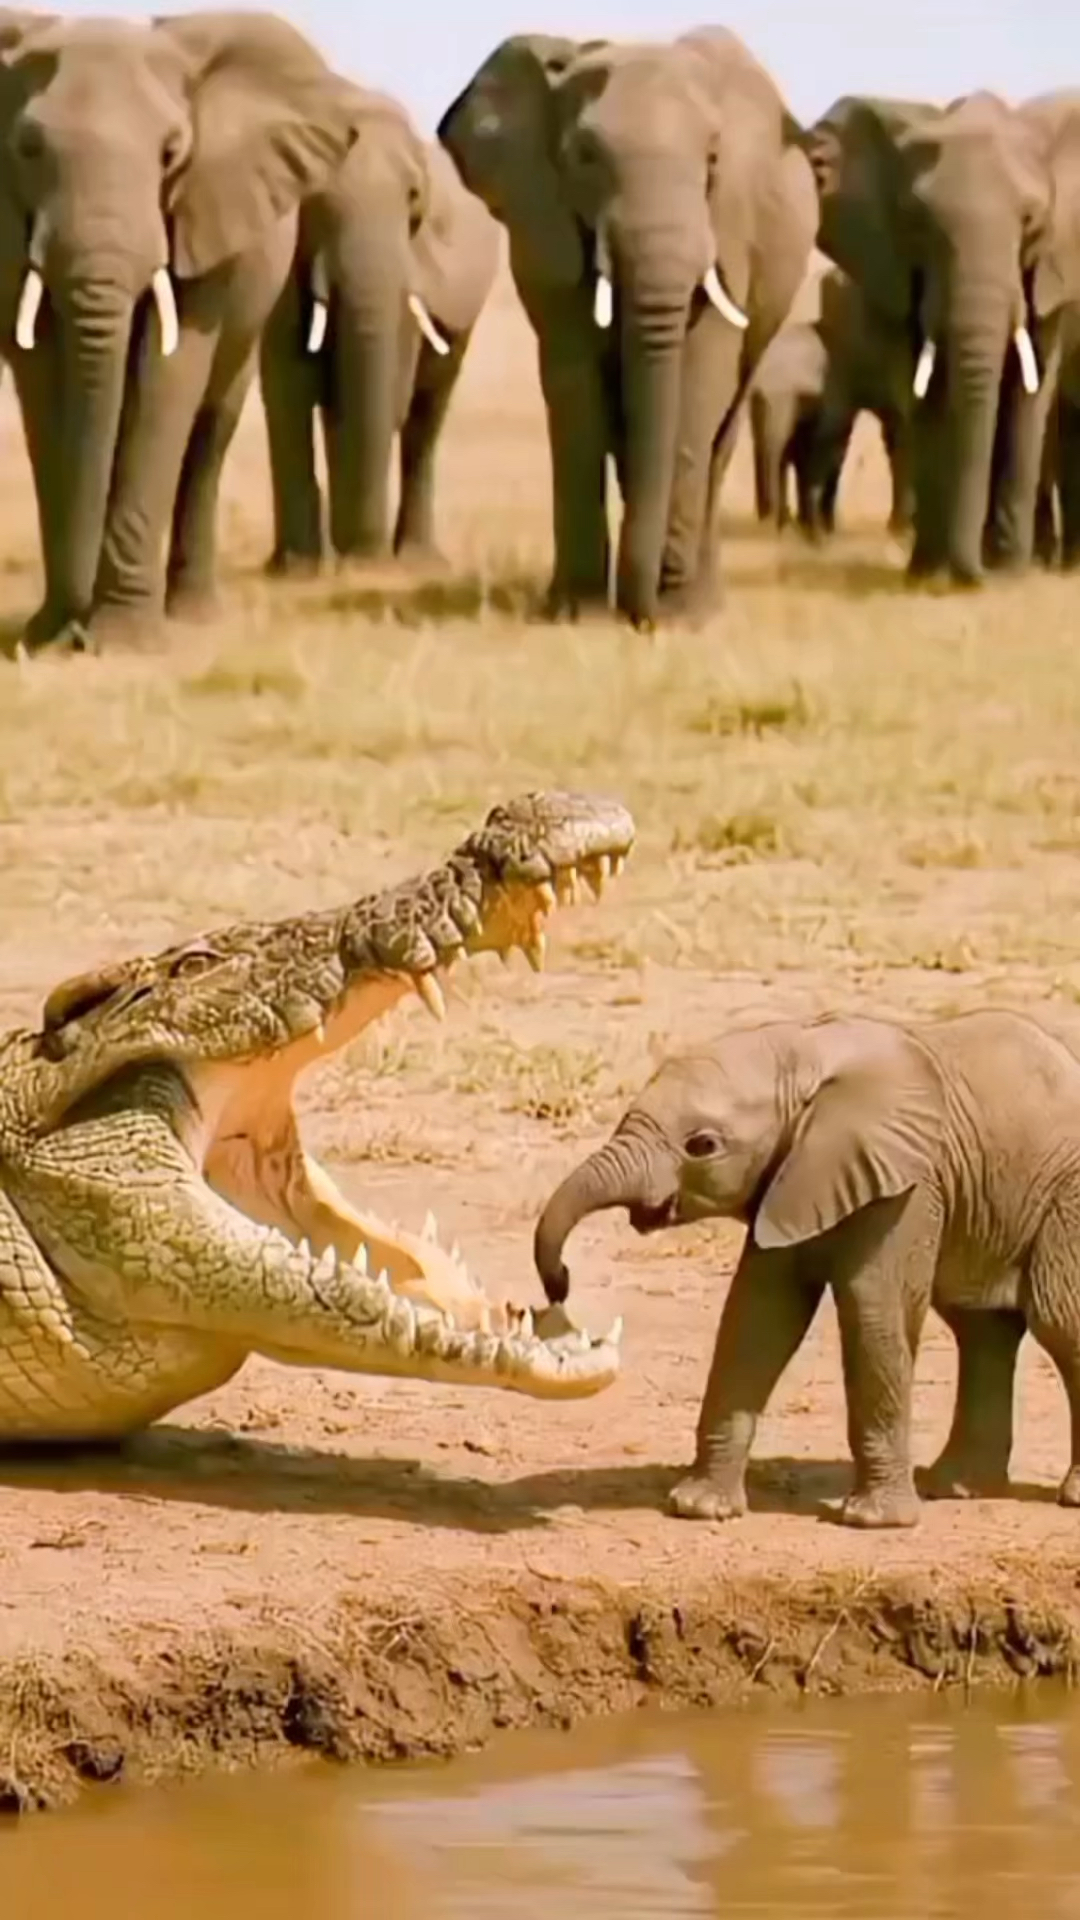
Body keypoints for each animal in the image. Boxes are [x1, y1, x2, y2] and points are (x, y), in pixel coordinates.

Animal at [0, 9, 364, 650]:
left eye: (172, 152)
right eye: (26, 149)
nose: (75, 634)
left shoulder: (204, 214)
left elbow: (169, 377)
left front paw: (122, 640)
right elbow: (40, 381)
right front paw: (46, 635)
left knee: (210, 428)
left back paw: (192, 613)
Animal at [259, 95, 500, 574]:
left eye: (413, 199)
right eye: (314, 199)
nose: (361, 558)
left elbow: (390, 398)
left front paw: (358, 562)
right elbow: (288, 388)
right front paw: (296, 571)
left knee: (426, 415)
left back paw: (417, 561)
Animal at [437, 27, 818, 630]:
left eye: (713, 158)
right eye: (586, 157)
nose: (645, 617)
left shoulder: (731, 225)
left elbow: (701, 375)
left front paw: (676, 611)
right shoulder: (543, 221)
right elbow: (573, 382)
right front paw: (577, 612)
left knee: (721, 435)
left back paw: (702, 604)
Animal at [532, 1010, 1080, 1530]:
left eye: (702, 1145)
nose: (560, 1285)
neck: (801, 1051)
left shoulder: (907, 1184)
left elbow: (872, 1311)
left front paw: (873, 1522)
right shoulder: (792, 1176)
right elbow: (758, 1314)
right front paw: (700, 1508)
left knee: (1056, 1319)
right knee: (982, 1329)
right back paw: (953, 1488)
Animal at [806, 91, 1080, 586]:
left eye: (1031, 223)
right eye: (918, 225)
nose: (974, 576)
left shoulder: (1055, 270)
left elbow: (1027, 400)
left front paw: (1009, 574)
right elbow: (922, 396)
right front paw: (928, 574)